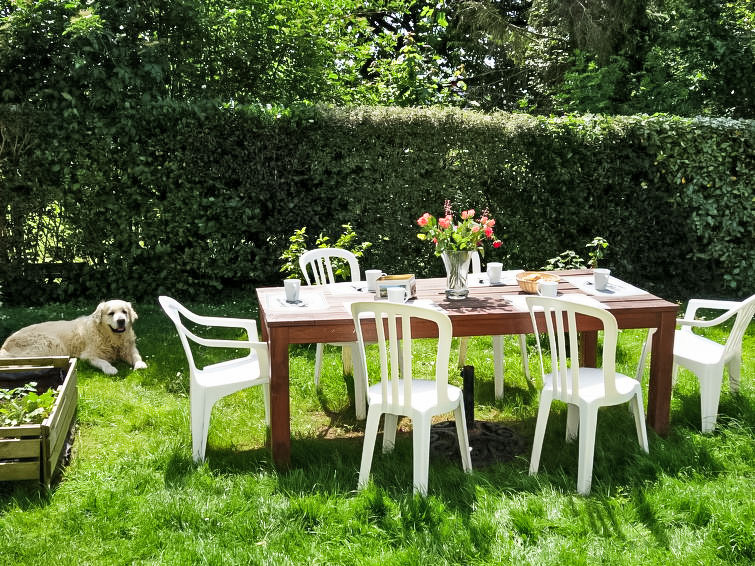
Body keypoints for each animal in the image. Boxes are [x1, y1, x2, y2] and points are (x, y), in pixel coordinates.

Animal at [0, 302, 147, 378]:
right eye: (111, 313)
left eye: (124, 312)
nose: (121, 321)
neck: (112, 339)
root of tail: (5, 344)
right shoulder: (88, 356)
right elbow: (103, 361)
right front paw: (110, 369)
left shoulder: (128, 348)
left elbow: (136, 355)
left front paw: (140, 365)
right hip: (49, 344)